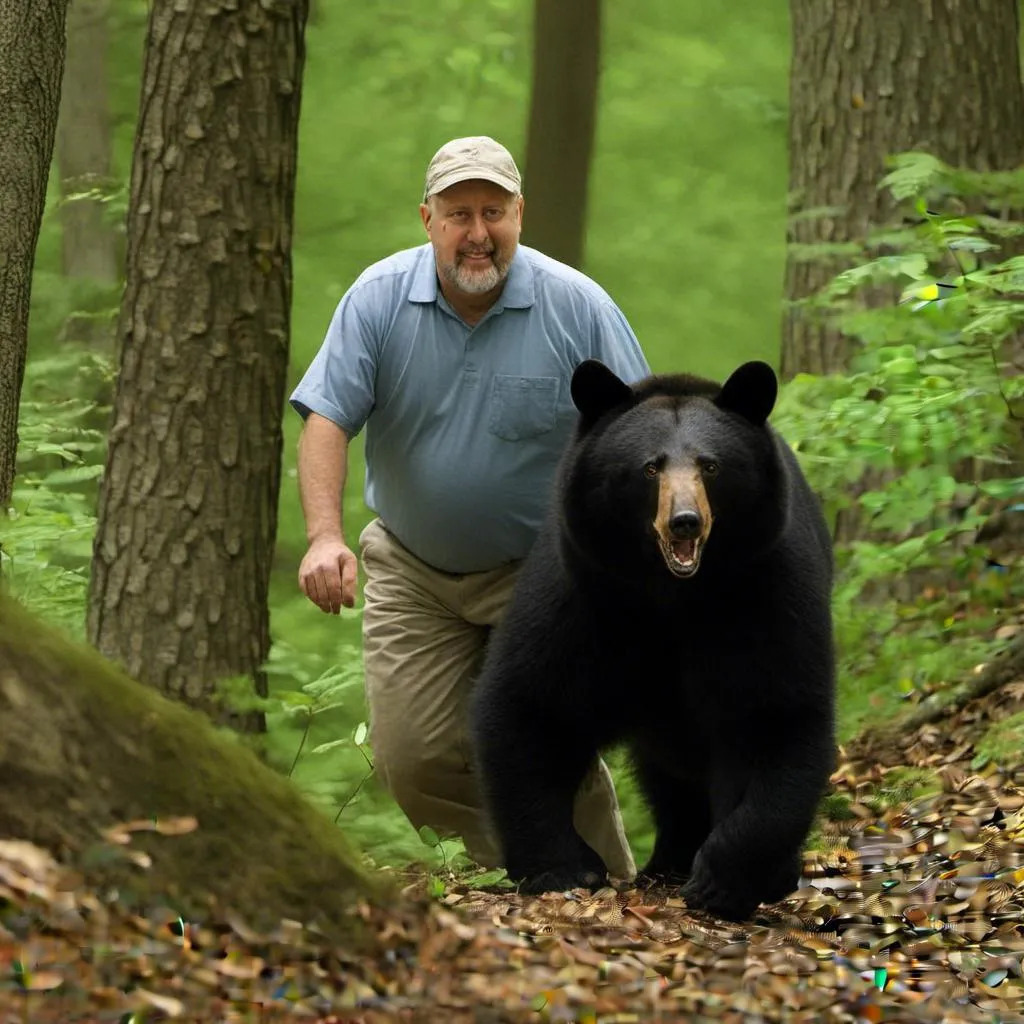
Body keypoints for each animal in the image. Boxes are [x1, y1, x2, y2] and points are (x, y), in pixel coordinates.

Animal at [468, 358, 835, 921]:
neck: (672, 596)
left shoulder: (764, 590)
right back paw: (669, 857)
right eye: (649, 468)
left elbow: (773, 714)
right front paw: (564, 867)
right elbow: (532, 704)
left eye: (711, 466)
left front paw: (726, 879)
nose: (685, 521)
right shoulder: (585, 594)